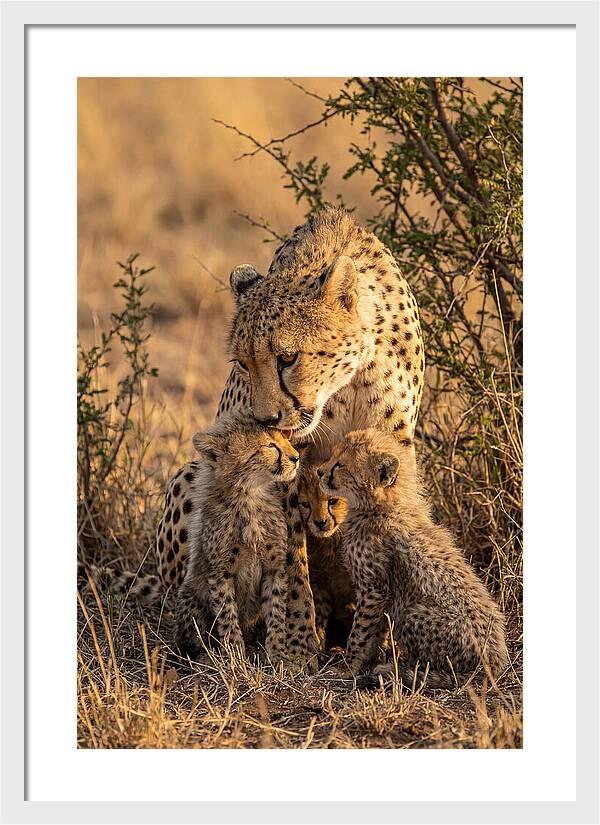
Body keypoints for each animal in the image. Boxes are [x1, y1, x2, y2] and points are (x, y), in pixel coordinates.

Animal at [174, 415, 299, 664]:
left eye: (285, 439)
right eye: (270, 445)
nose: (296, 458)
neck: (249, 496)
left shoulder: (274, 568)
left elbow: (276, 611)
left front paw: (277, 654)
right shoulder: (220, 573)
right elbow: (227, 615)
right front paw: (234, 656)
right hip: (191, 595)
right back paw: (206, 656)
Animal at [318, 428, 509, 689]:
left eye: (340, 465)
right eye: (333, 456)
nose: (319, 471)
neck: (381, 505)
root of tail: (496, 663)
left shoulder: (374, 590)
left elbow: (360, 632)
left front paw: (348, 668)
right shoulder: (382, 594)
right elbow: (374, 632)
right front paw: (365, 662)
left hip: (412, 613)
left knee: (437, 668)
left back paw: (398, 671)